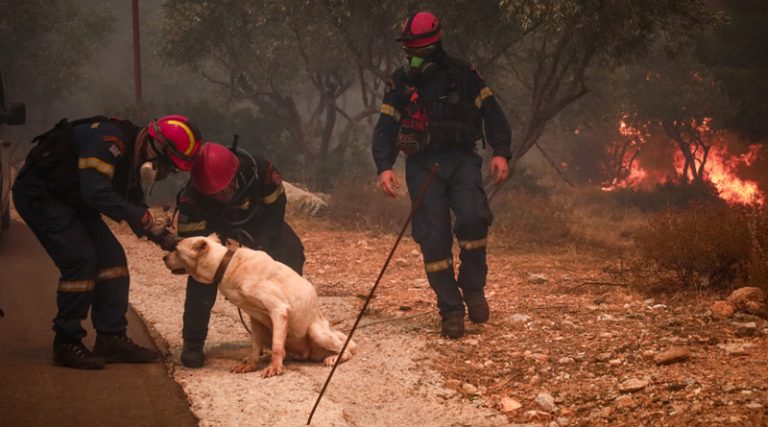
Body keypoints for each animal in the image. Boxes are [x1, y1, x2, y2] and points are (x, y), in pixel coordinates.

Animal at [164, 234, 356, 378]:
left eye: (176, 249)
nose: (163, 257)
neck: (225, 265)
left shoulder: (279, 310)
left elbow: (278, 346)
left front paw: (275, 368)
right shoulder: (256, 319)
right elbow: (255, 347)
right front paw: (251, 365)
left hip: (316, 332)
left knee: (345, 349)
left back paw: (333, 358)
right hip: (269, 330)